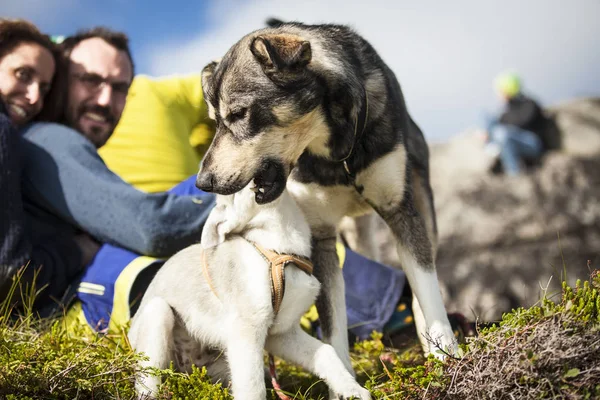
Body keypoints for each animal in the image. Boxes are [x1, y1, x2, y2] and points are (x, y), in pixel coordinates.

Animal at [129, 184, 370, 400]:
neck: (278, 252)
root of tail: (187, 372)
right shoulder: (247, 329)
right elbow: (253, 389)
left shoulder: (280, 333)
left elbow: (326, 353)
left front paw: (351, 388)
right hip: (157, 314)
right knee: (147, 382)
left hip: (222, 370)